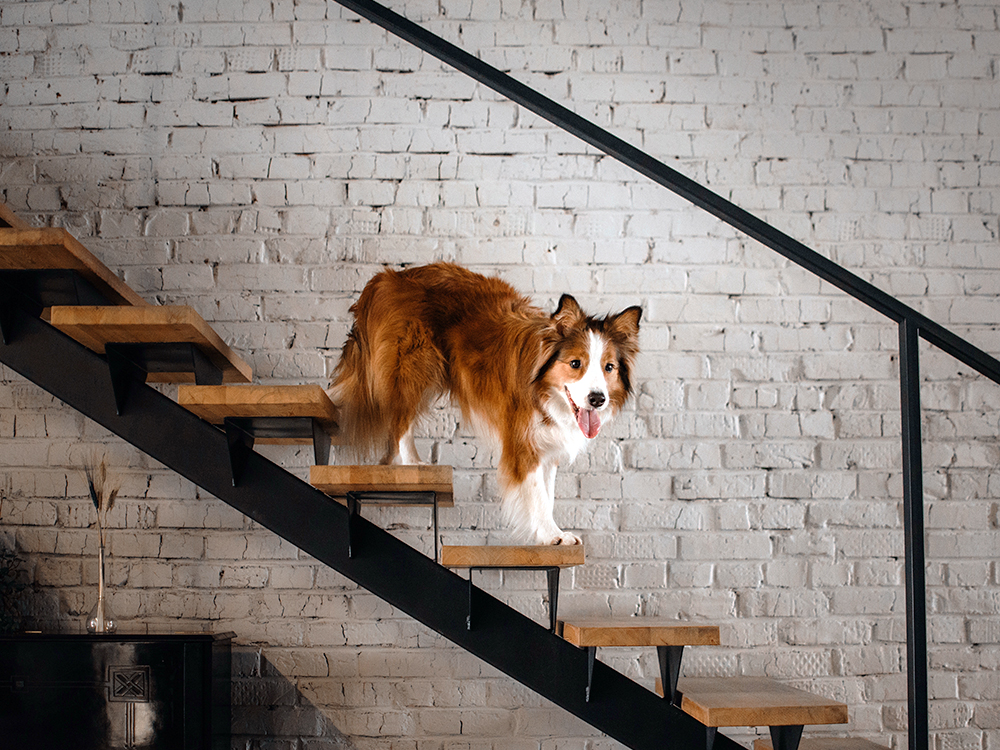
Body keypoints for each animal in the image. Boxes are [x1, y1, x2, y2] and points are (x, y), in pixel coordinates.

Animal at [328, 264, 640, 548]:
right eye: (576, 363)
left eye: (609, 367)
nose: (598, 399)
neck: (543, 389)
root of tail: (386, 278)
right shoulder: (522, 442)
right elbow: (538, 494)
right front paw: (553, 536)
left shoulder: (547, 445)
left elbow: (547, 494)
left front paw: (545, 533)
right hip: (415, 366)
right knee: (400, 420)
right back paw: (412, 464)